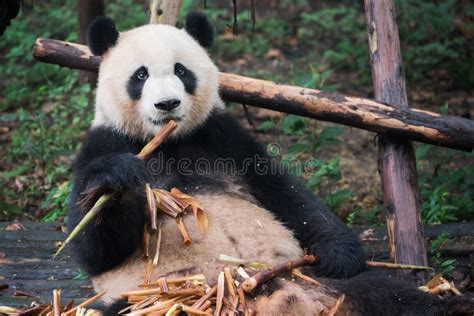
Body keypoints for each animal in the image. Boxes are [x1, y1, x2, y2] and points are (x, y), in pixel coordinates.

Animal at [67, 11, 474, 314]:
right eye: (140, 75)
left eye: (182, 70)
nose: (167, 105)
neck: (168, 141)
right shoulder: (104, 142)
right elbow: (95, 248)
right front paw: (117, 181)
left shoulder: (221, 137)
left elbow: (288, 195)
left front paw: (339, 253)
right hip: (156, 298)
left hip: (317, 281)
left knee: (389, 293)